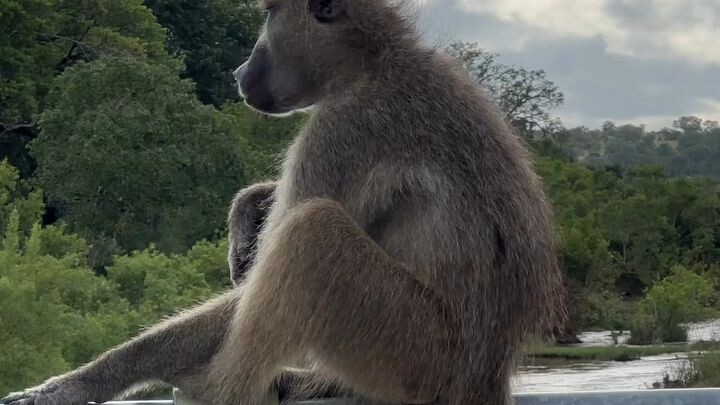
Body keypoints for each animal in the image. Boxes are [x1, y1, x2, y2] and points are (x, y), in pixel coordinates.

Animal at [2, 0, 565, 404]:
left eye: (269, 16)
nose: (238, 69)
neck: (372, 62)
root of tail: (490, 376)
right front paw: (249, 206)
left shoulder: (342, 131)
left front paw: (77, 383)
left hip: (419, 354)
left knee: (311, 234)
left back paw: (220, 390)